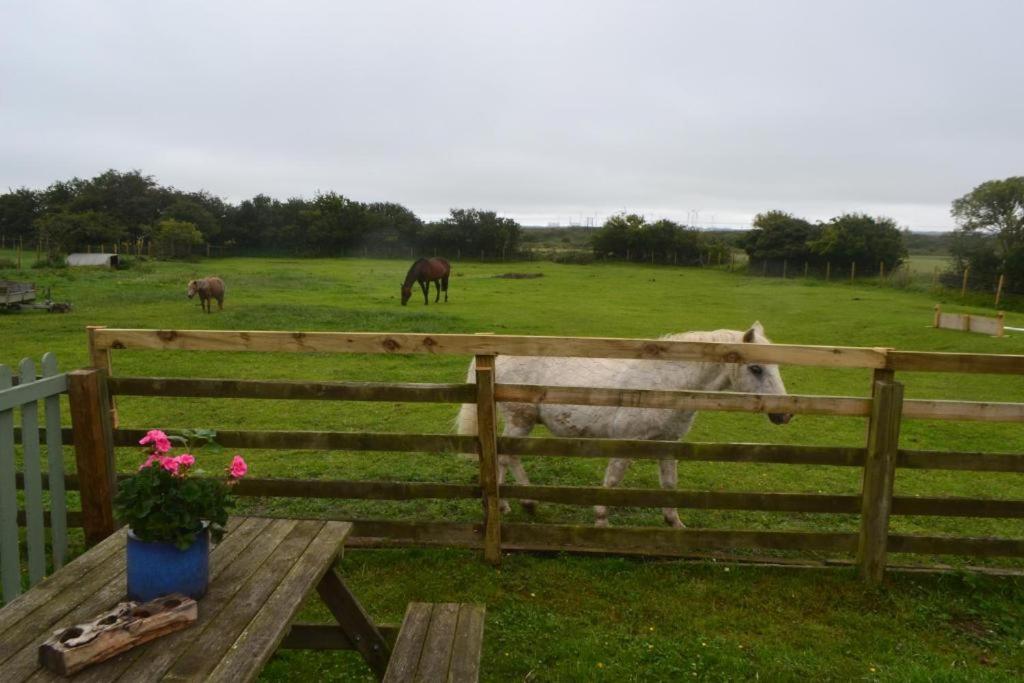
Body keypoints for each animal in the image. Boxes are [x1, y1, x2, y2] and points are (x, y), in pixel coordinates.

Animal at [460, 321, 794, 528]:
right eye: (756, 368)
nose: (785, 414)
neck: (665, 385)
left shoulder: (667, 444)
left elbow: (669, 485)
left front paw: (675, 523)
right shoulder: (626, 443)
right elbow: (612, 483)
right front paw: (601, 520)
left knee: (509, 456)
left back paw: (521, 504)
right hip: (521, 419)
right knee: (505, 457)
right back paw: (514, 505)